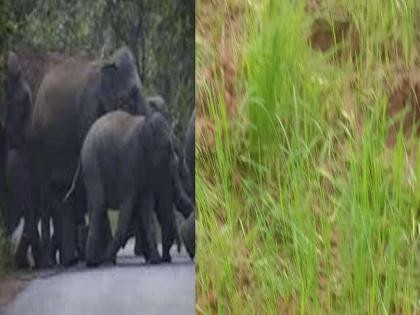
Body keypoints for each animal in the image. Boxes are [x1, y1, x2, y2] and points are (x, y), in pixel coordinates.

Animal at [31, 47, 149, 266]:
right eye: (129, 97)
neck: (108, 63)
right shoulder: (88, 111)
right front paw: (103, 258)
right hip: (38, 143)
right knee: (50, 193)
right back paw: (56, 261)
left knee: (63, 193)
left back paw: (69, 259)